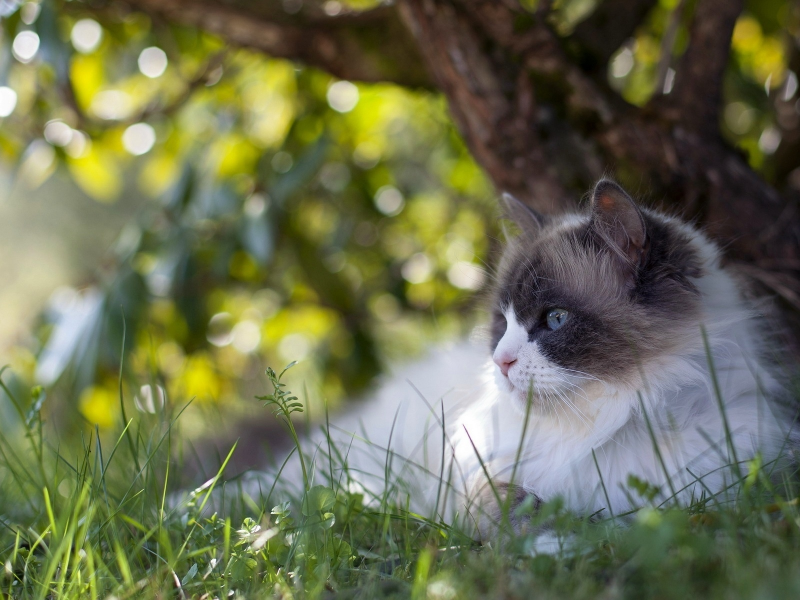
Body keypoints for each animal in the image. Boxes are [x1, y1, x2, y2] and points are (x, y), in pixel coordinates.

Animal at [274, 178, 792, 540]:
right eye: (502, 323)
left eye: (555, 320)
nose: (500, 362)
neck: (611, 419)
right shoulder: (477, 481)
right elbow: (513, 509)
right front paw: (553, 540)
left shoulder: (715, 493)